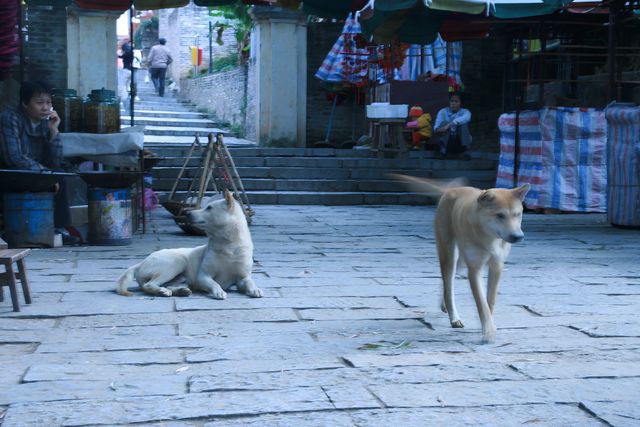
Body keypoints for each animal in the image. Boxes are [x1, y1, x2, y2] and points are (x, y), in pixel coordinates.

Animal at [116, 192, 262, 300]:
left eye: (209, 208)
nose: (187, 213)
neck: (228, 244)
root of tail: (140, 263)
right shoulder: (203, 276)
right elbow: (214, 282)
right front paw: (218, 291)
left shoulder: (242, 278)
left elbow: (250, 281)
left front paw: (255, 289)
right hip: (176, 262)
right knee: (148, 285)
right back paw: (162, 291)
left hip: (179, 276)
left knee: (166, 285)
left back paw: (180, 291)